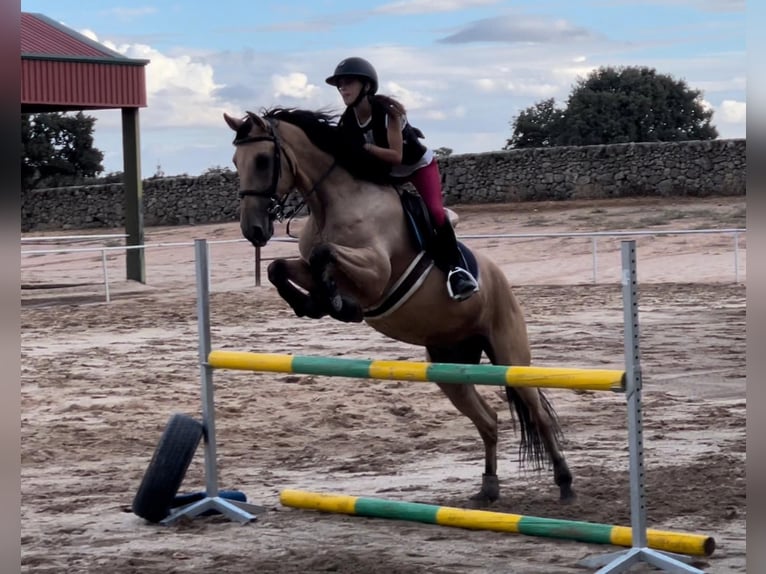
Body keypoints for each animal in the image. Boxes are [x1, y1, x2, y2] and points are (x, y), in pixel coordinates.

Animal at [222, 109, 576, 508]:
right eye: (235, 162)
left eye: (262, 160)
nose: (253, 230)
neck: (333, 203)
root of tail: (501, 280)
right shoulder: (312, 267)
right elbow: (280, 268)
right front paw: (313, 304)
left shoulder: (376, 274)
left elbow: (324, 255)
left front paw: (339, 305)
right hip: (449, 367)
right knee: (488, 420)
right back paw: (488, 487)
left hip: (509, 355)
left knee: (537, 413)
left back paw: (565, 482)